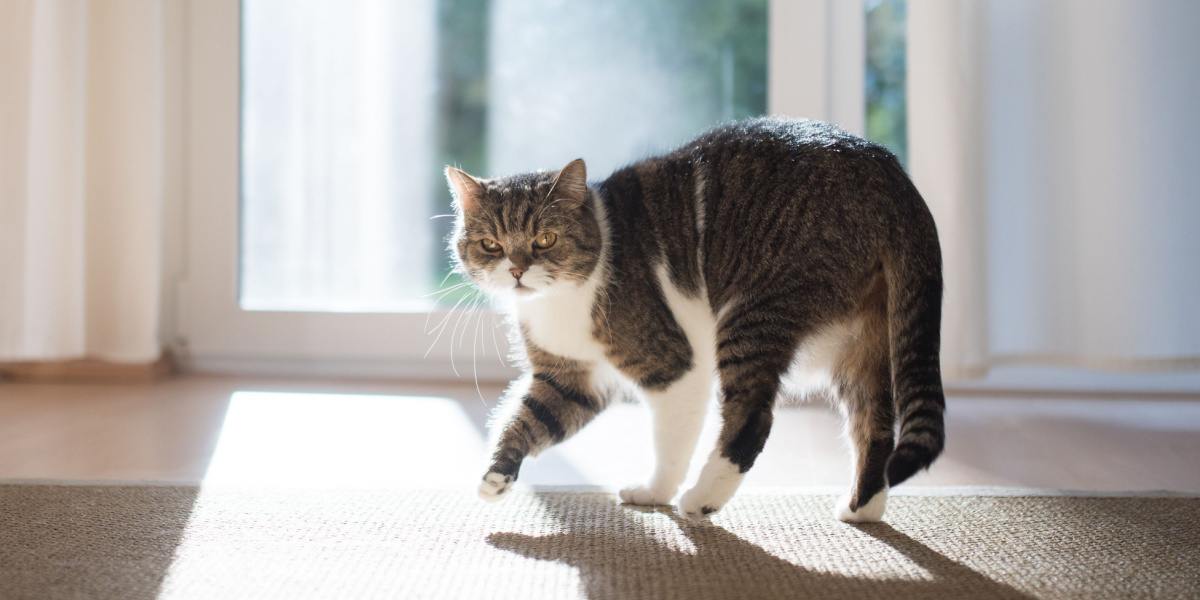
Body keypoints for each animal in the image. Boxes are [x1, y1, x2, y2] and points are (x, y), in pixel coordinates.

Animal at [446, 115, 940, 520]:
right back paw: (861, 509)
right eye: (491, 244)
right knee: (875, 425)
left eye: (545, 239)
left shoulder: (675, 367)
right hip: (862, 341)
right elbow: (528, 419)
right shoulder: (572, 376)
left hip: (754, 314)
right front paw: (496, 475)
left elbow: (671, 444)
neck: (556, 302)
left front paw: (655, 494)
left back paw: (703, 499)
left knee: (754, 417)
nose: (517, 270)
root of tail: (884, 167)